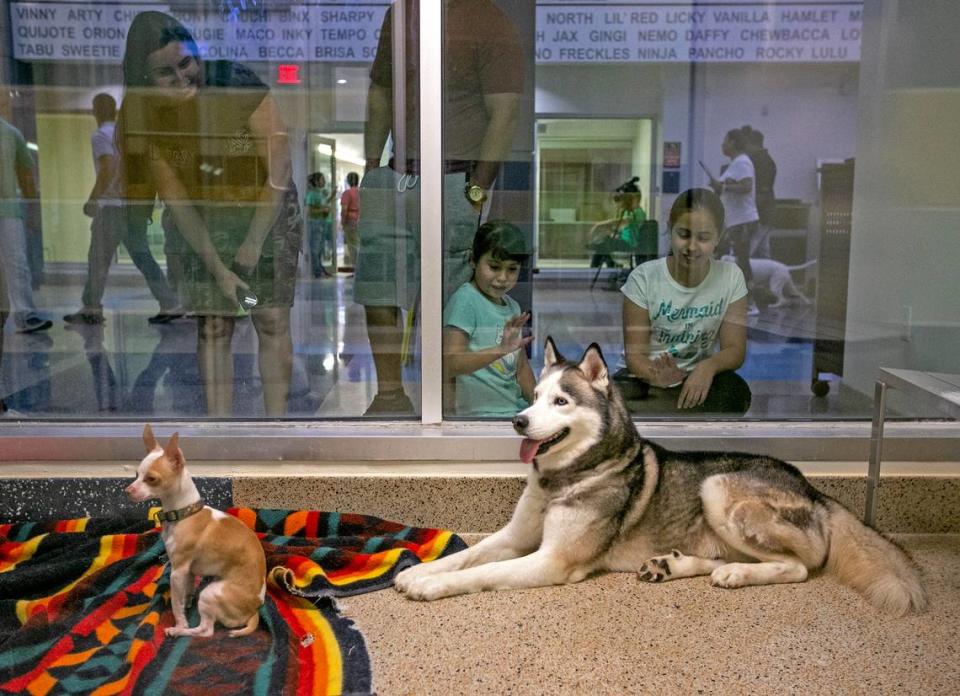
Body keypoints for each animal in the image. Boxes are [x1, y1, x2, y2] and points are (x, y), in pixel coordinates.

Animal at [125, 422, 266, 640]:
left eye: (151, 479)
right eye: (136, 475)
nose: (127, 491)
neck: (185, 513)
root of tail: (254, 610)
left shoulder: (177, 571)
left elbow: (176, 604)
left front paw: (179, 622)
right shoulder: (189, 572)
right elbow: (186, 593)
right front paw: (187, 603)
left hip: (211, 593)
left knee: (206, 631)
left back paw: (180, 631)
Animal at [394, 338, 928, 616]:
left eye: (561, 401)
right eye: (534, 395)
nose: (517, 421)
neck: (566, 478)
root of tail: (814, 490)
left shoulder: (552, 560)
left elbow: (480, 573)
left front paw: (430, 587)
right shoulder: (513, 537)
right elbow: (468, 554)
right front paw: (419, 570)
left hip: (719, 490)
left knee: (797, 566)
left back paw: (737, 574)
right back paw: (672, 565)